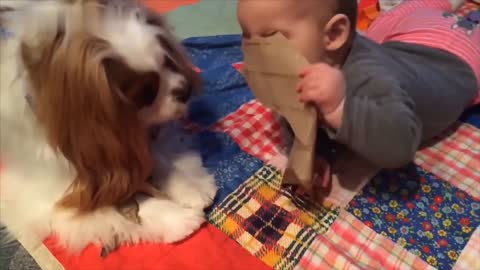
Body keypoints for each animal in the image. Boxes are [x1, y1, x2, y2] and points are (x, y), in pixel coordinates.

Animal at [0, 0, 217, 254]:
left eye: (167, 62)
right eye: (145, 92)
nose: (186, 90)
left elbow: (152, 157)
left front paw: (189, 184)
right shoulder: (50, 193)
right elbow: (123, 201)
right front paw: (175, 217)